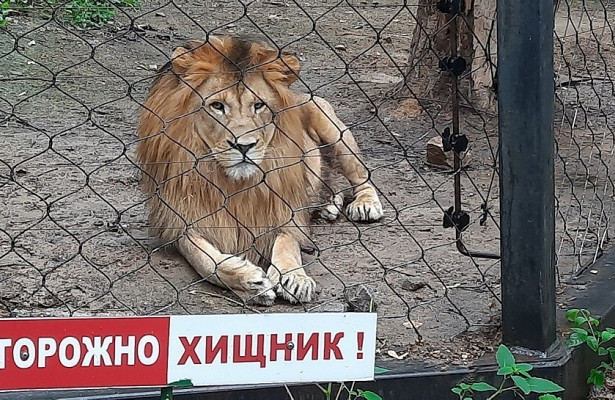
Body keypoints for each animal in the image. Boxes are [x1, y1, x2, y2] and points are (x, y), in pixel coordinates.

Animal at [137, 35, 382, 306]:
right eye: (217, 106)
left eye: (258, 105)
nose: (244, 146)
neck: (232, 183)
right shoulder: (181, 219)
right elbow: (204, 259)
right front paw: (248, 281)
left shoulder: (283, 211)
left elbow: (287, 243)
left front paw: (293, 277)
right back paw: (328, 205)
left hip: (329, 124)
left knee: (362, 176)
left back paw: (364, 204)